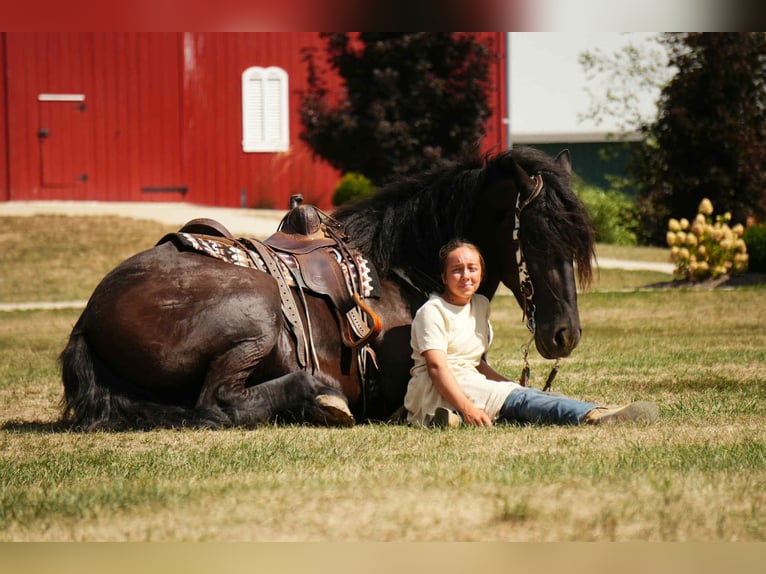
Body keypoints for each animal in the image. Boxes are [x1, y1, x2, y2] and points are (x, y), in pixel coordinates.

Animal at [60, 147, 594, 430]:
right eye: (540, 236)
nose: (565, 334)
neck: (403, 268)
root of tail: (89, 317)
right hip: (257, 311)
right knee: (219, 403)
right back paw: (318, 395)